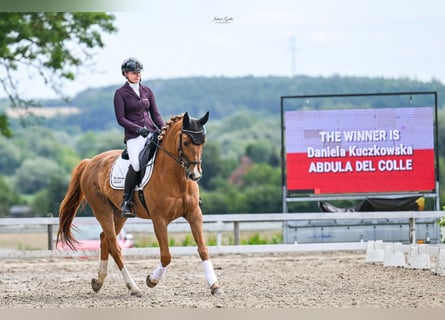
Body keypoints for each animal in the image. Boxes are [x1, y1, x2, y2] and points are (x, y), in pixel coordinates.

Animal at [56, 112, 221, 298]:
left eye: (203, 142)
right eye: (186, 142)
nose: (195, 175)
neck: (176, 178)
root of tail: (90, 162)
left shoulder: (194, 214)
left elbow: (203, 249)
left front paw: (214, 285)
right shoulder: (159, 220)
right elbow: (166, 256)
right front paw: (152, 280)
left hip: (118, 214)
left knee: (104, 239)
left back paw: (98, 282)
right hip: (101, 210)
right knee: (115, 246)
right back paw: (133, 287)